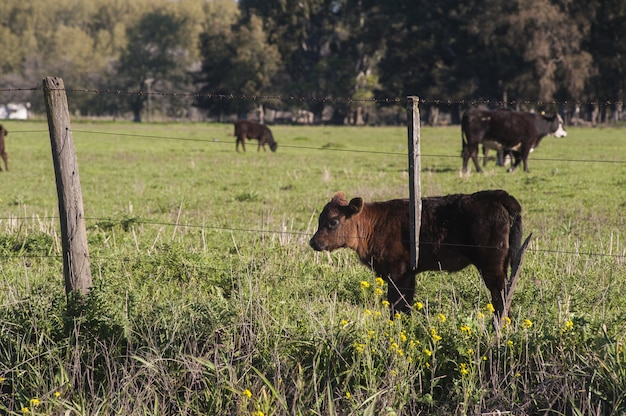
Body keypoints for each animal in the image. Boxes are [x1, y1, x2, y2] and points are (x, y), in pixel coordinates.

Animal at [308, 191, 520, 318]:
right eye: (320, 219)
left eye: (333, 222)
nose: (313, 242)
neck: (374, 225)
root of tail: (495, 196)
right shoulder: (408, 275)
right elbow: (406, 304)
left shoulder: (396, 273)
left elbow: (396, 303)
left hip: (492, 266)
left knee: (500, 294)